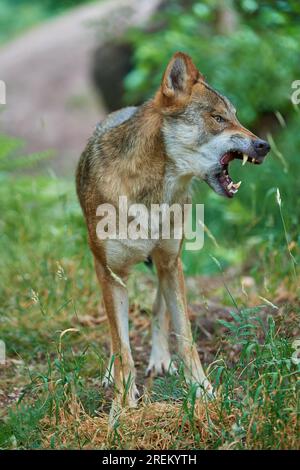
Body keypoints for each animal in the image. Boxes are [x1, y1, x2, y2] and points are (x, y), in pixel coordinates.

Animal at [76, 52, 270, 412]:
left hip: (170, 262)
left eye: (236, 117)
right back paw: (112, 372)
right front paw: (123, 404)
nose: (263, 145)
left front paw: (203, 391)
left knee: (159, 310)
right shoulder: (111, 273)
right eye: (218, 118)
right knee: (116, 334)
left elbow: (185, 337)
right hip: (108, 268)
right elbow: (121, 345)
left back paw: (160, 360)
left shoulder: (169, 263)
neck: (151, 195)